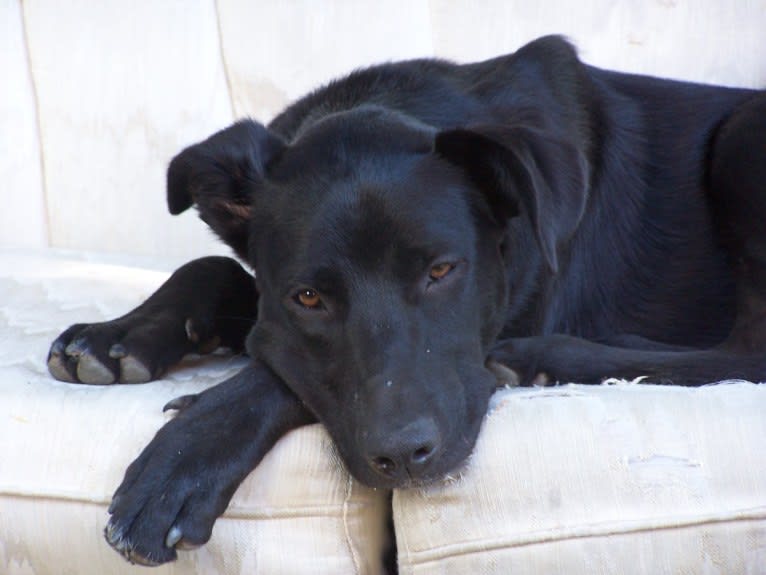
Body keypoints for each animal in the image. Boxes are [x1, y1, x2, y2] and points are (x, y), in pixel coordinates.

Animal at [45, 37, 764, 568]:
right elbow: (217, 267)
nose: (403, 458)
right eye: (308, 296)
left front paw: (181, 459)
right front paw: (117, 334)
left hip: (741, 143)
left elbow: (271, 371)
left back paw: (549, 358)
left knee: (744, 353)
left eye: (443, 270)